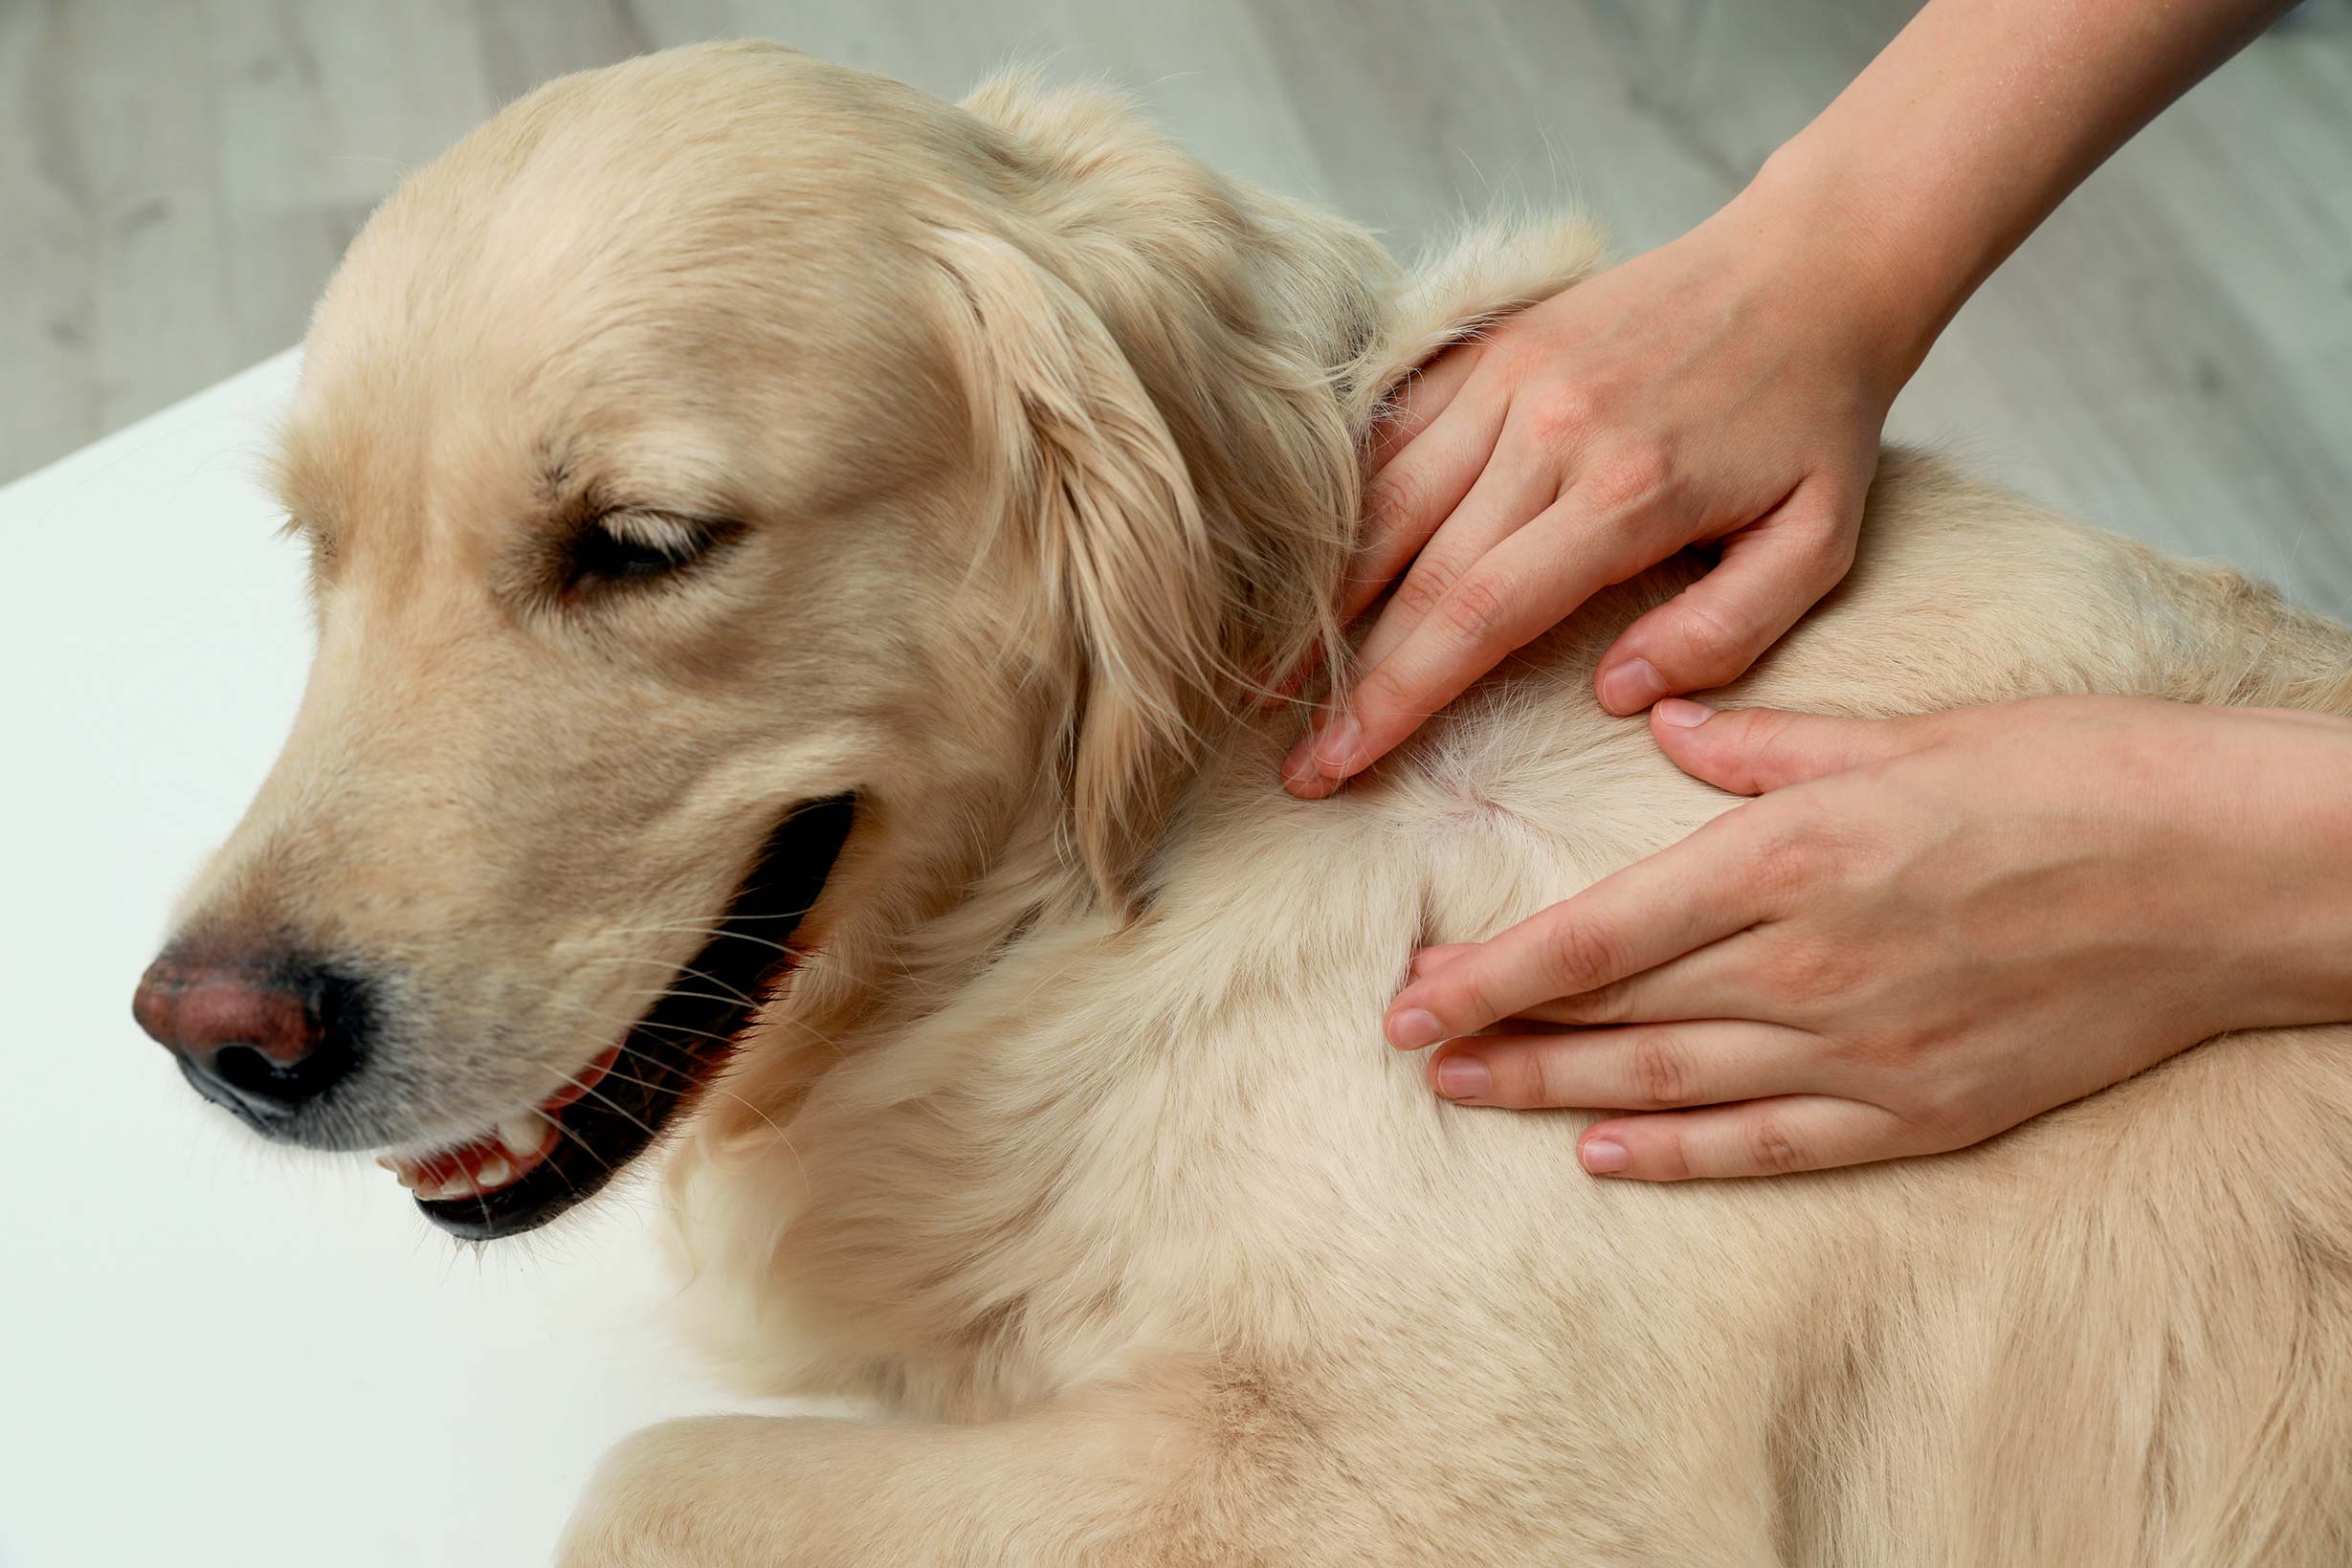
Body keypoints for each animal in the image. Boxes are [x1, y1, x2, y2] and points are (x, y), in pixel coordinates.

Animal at [133, 39, 2352, 1568]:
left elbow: (637, 1479)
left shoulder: (1432, 1487)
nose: (211, 1037)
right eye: (317, 547)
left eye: (641, 545)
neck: (1160, 828)